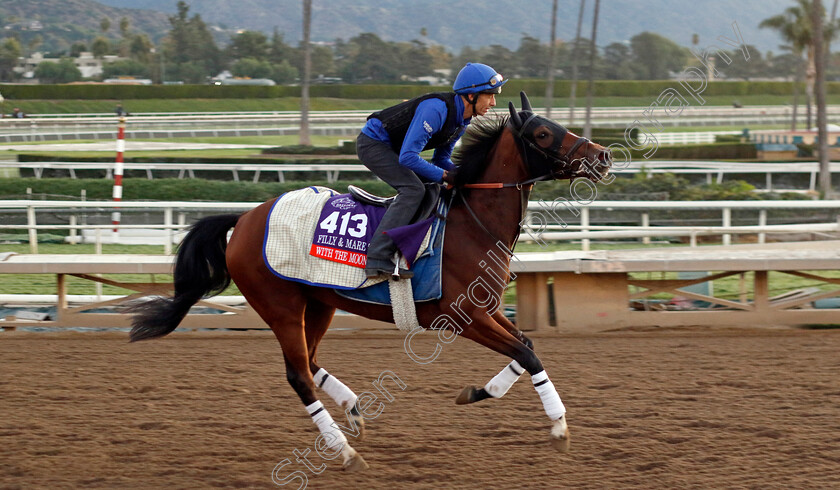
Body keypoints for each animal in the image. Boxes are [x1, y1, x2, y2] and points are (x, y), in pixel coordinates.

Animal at [128, 92, 612, 470]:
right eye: (544, 134)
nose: (603, 156)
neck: (471, 226)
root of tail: (245, 218)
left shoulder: (488, 309)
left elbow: (526, 347)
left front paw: (477, 392)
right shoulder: (464, 318)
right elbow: (527, 355)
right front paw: (559, 426)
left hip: (318, 303)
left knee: (309, 361)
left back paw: (354, 408)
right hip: (280, 305)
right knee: (298, 374)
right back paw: (344, 451)